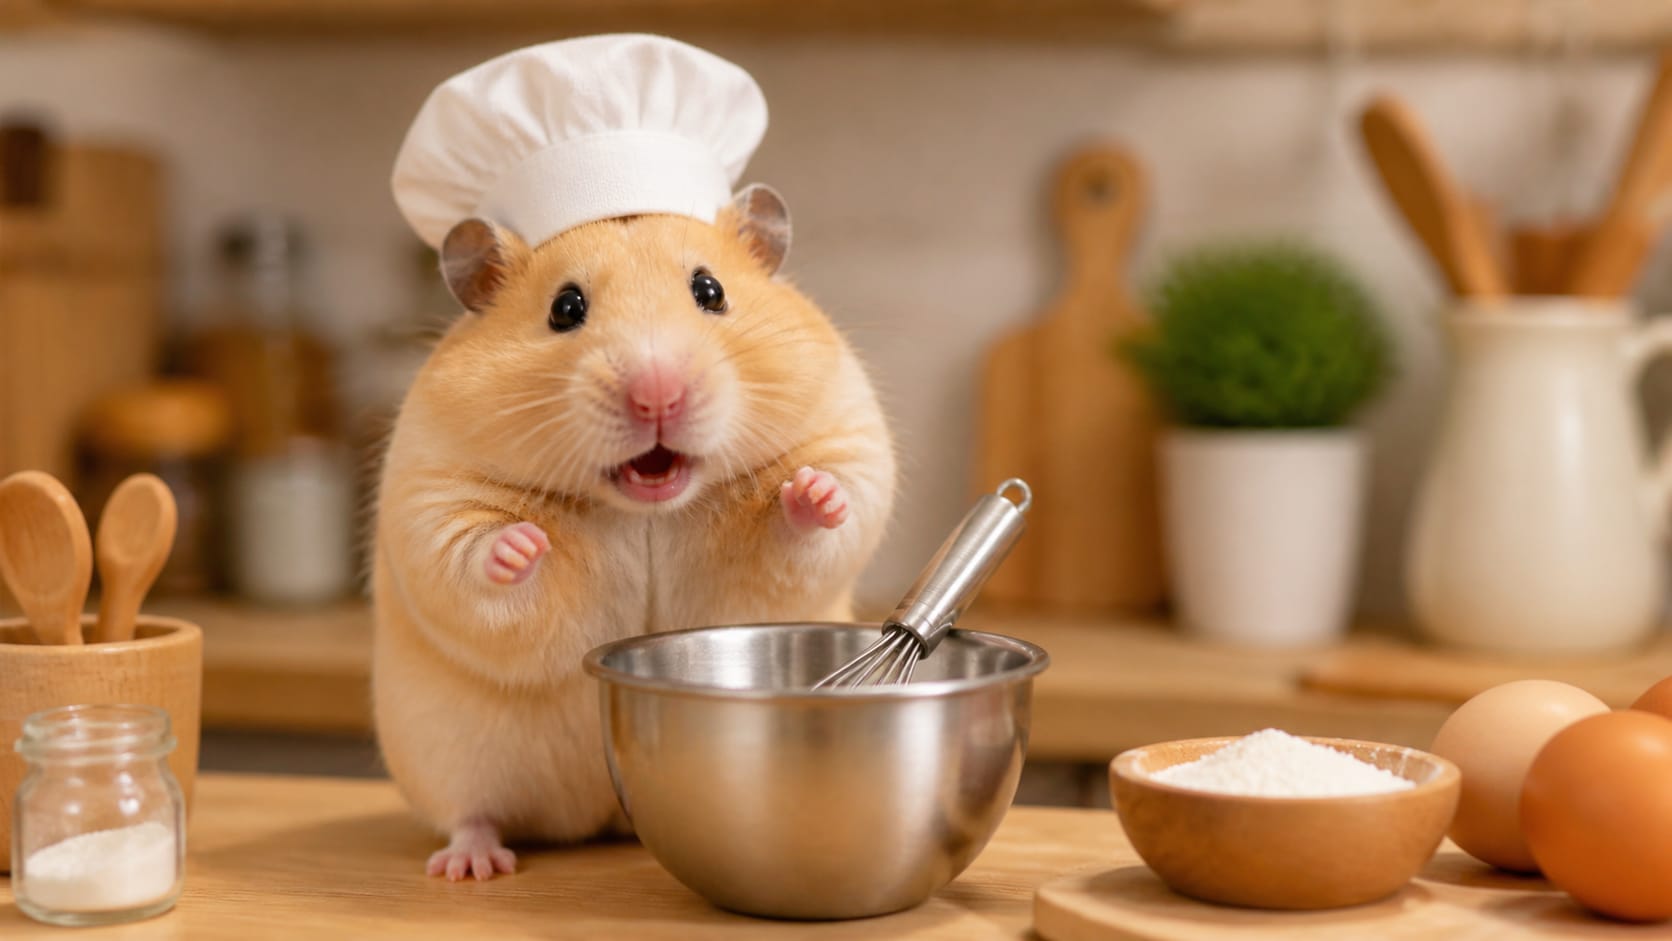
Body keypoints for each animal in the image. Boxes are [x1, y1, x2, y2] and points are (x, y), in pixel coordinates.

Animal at [372, 184, 896, 881]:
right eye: (565, 308)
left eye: (710, 290)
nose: (657, 395)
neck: (646, 509)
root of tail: (591, 822)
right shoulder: (429, 494)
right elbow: (471, 555)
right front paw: (523, 544)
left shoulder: (848, 433)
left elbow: (827, 513)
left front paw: (813, 492)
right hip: (444, 759)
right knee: (469, 815)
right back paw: (472, 865)